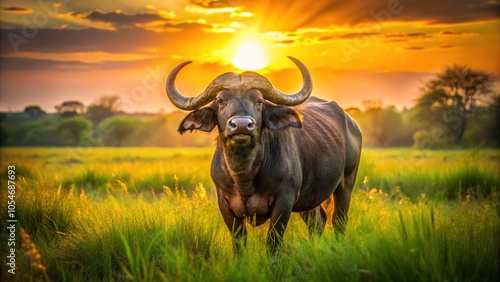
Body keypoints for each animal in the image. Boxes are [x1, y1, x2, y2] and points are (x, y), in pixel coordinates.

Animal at [166, 56, 362, 253]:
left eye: (259, 101)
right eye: (221, 100)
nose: (242, 125)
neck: (244, 175)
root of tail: (352, 123)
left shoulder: (284, 200)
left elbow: (273, 241)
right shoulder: (225, 203)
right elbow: (239, 242)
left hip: (346, 184)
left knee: (339, 221)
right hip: (310, 197)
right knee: (317, 221)